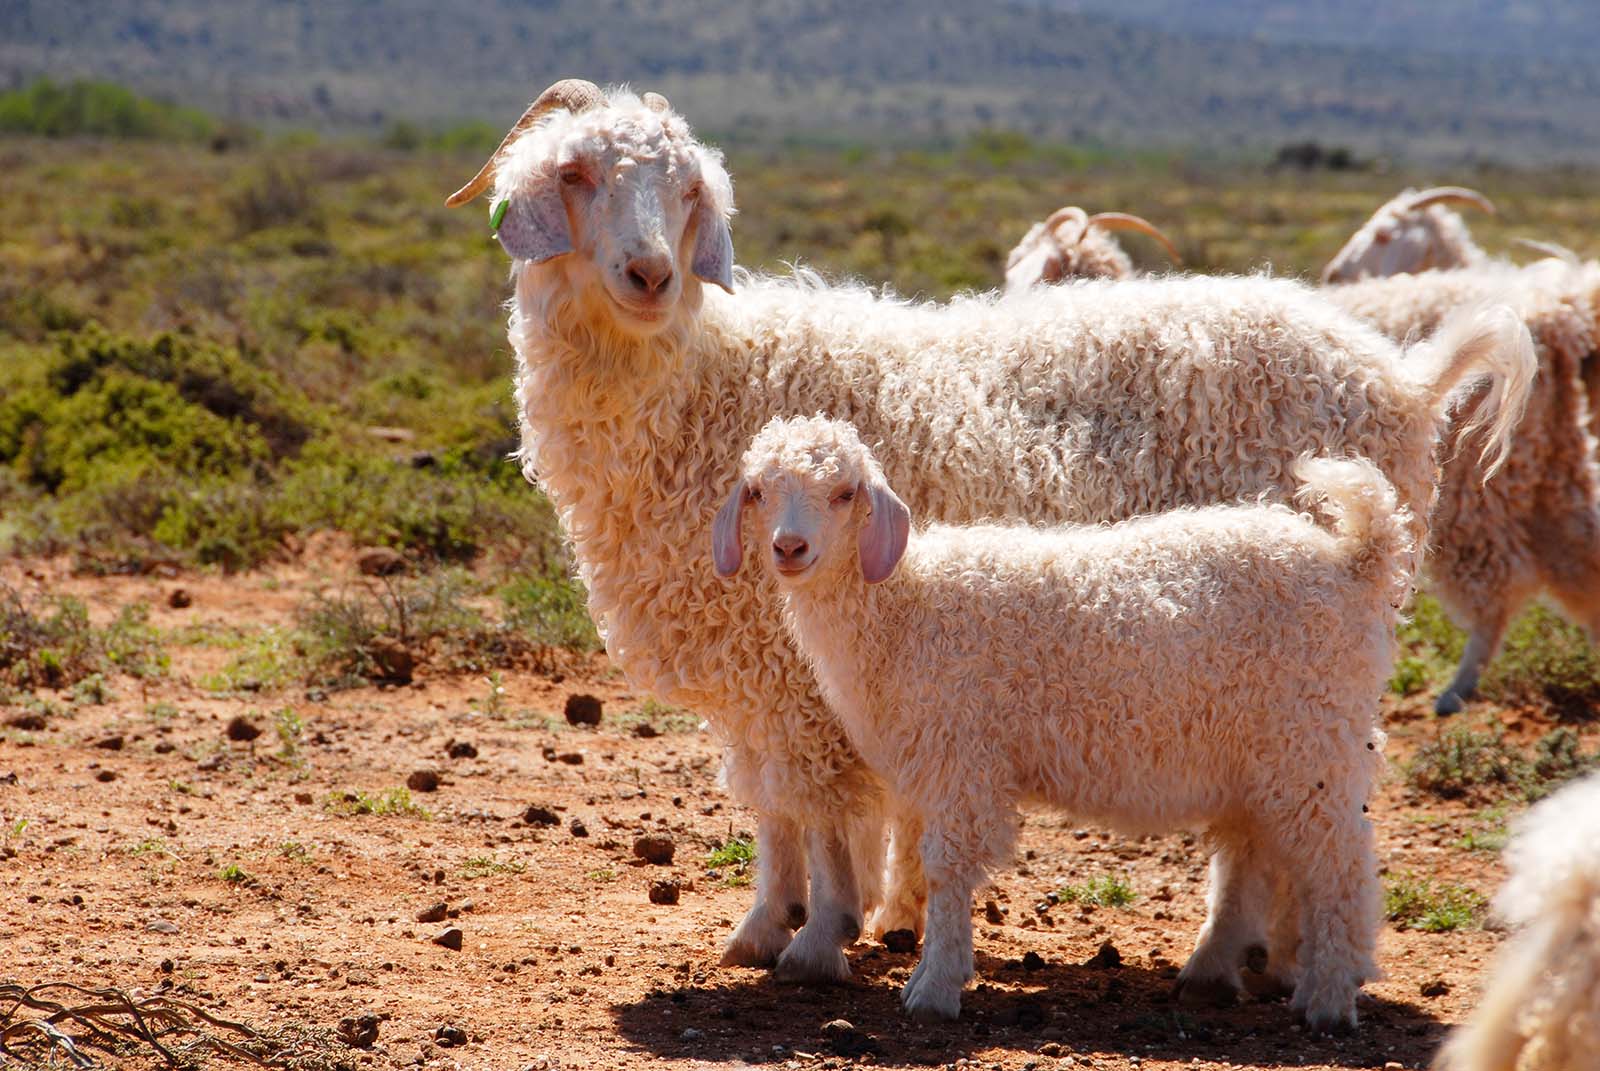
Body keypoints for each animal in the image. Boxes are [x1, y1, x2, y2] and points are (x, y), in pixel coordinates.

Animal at [451, 79, 1536, 986]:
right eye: (577, 175)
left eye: (683, 190)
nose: (649, 274)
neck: (699, 384)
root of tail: (1402, 381)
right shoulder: (759, 669)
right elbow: (773, 804)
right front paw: (780, 921)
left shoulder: (793, 674)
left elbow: (817, 809)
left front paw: (815, 933)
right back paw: (1256, 954)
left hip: (1274, 676)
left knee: (1272, 824)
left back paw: (1244, 958)